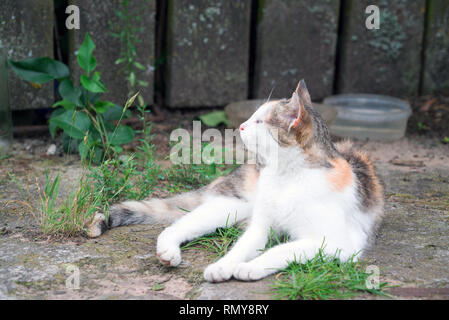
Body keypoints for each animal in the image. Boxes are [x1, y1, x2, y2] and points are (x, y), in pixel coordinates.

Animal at [88, 80, 384, 282]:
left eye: (260, 122)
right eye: (253, 118)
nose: (241, 125)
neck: (286, 176)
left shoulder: (336, 243)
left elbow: (283, 250)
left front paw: (248, 268)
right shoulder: (261, 227)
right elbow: (242, 246)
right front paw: (224, 265)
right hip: (232, 205)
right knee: (177, 224)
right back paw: (169, 250)